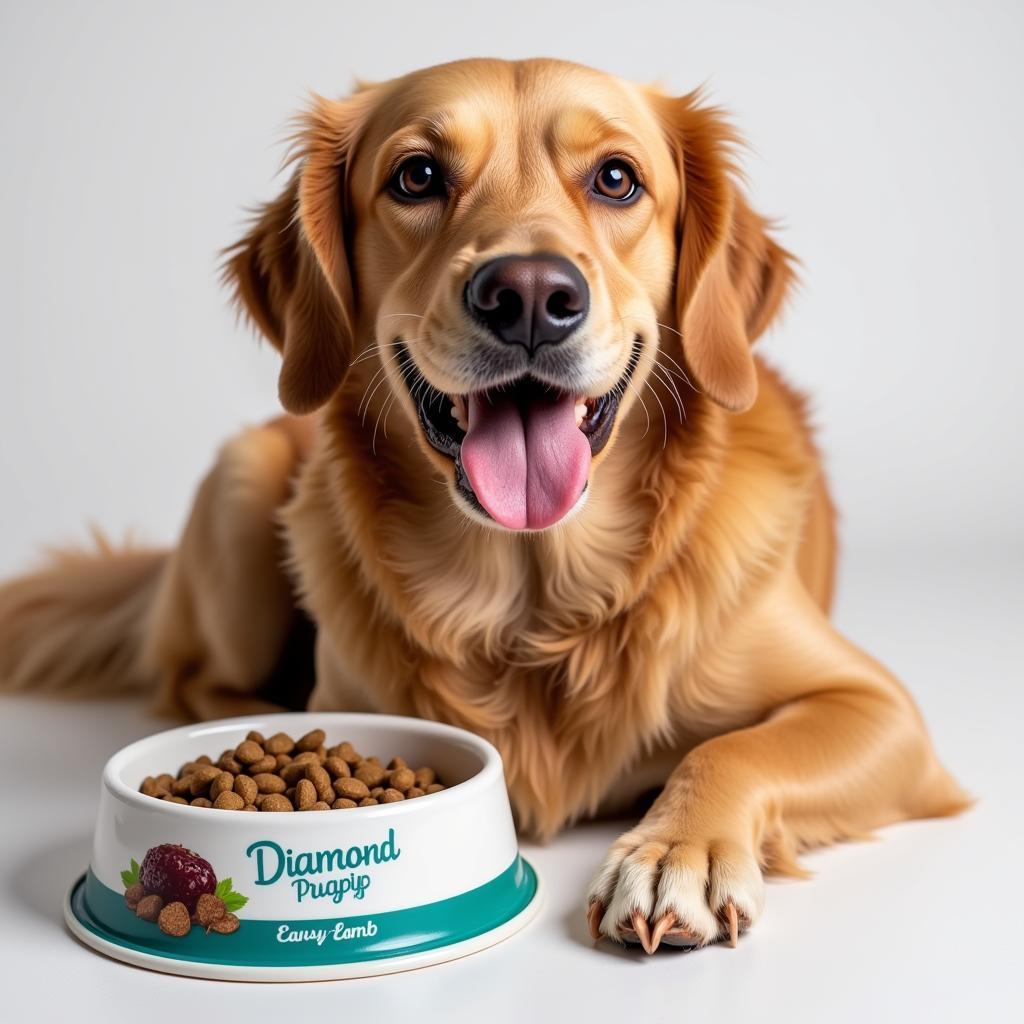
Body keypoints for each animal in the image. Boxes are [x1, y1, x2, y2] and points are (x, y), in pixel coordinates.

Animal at [0, 58, 962, 950]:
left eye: (617, 178)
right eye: (418, 176)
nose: (530, 295)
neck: (533, 602)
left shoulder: (879, 709)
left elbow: (732, 747)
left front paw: (669, 855)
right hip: (243, 489)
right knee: (196, 678)